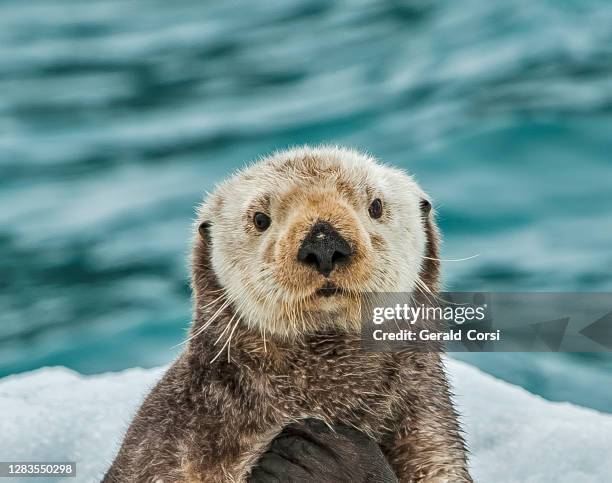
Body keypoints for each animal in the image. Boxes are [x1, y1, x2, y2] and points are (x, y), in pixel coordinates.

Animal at [103, 147, 470, 483]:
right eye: (260, 219)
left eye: (376, 206)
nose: (323, 244)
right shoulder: (170, 440)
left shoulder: (429, 436)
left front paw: (320, 454)